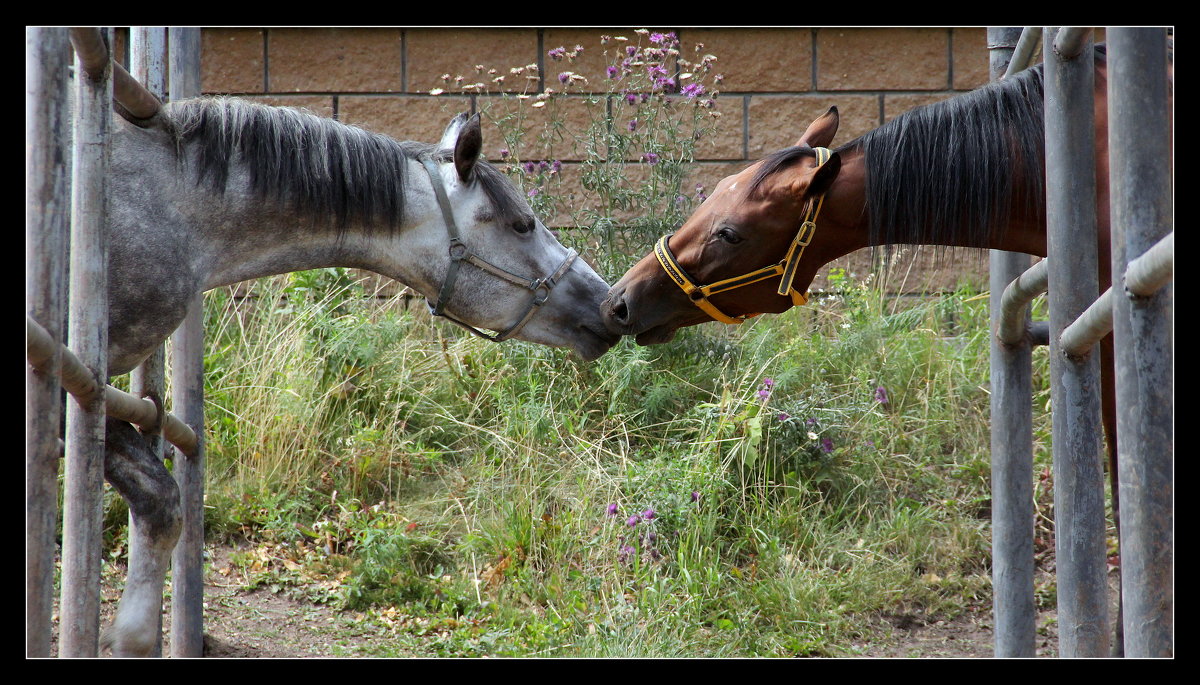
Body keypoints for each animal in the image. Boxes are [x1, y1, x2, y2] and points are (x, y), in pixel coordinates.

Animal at [94, 98, 619, 657]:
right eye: (522, 224)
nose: (608, 305)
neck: (169, 205)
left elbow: (161, 505)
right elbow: (159, 503)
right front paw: (129, 636)